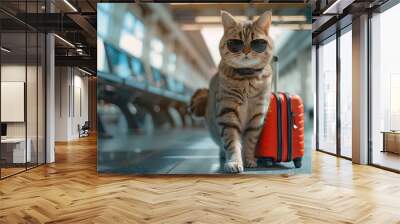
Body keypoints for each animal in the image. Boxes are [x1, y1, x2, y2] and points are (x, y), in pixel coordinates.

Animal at [190, 10, 272, 173]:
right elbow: (232, 142)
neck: (247, 78)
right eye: (235, 43)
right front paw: (234, 162)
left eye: (257, 43)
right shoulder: (227, 113)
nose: (246, 51)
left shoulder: (257, 116)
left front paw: (249, 159)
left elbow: (250, 141)